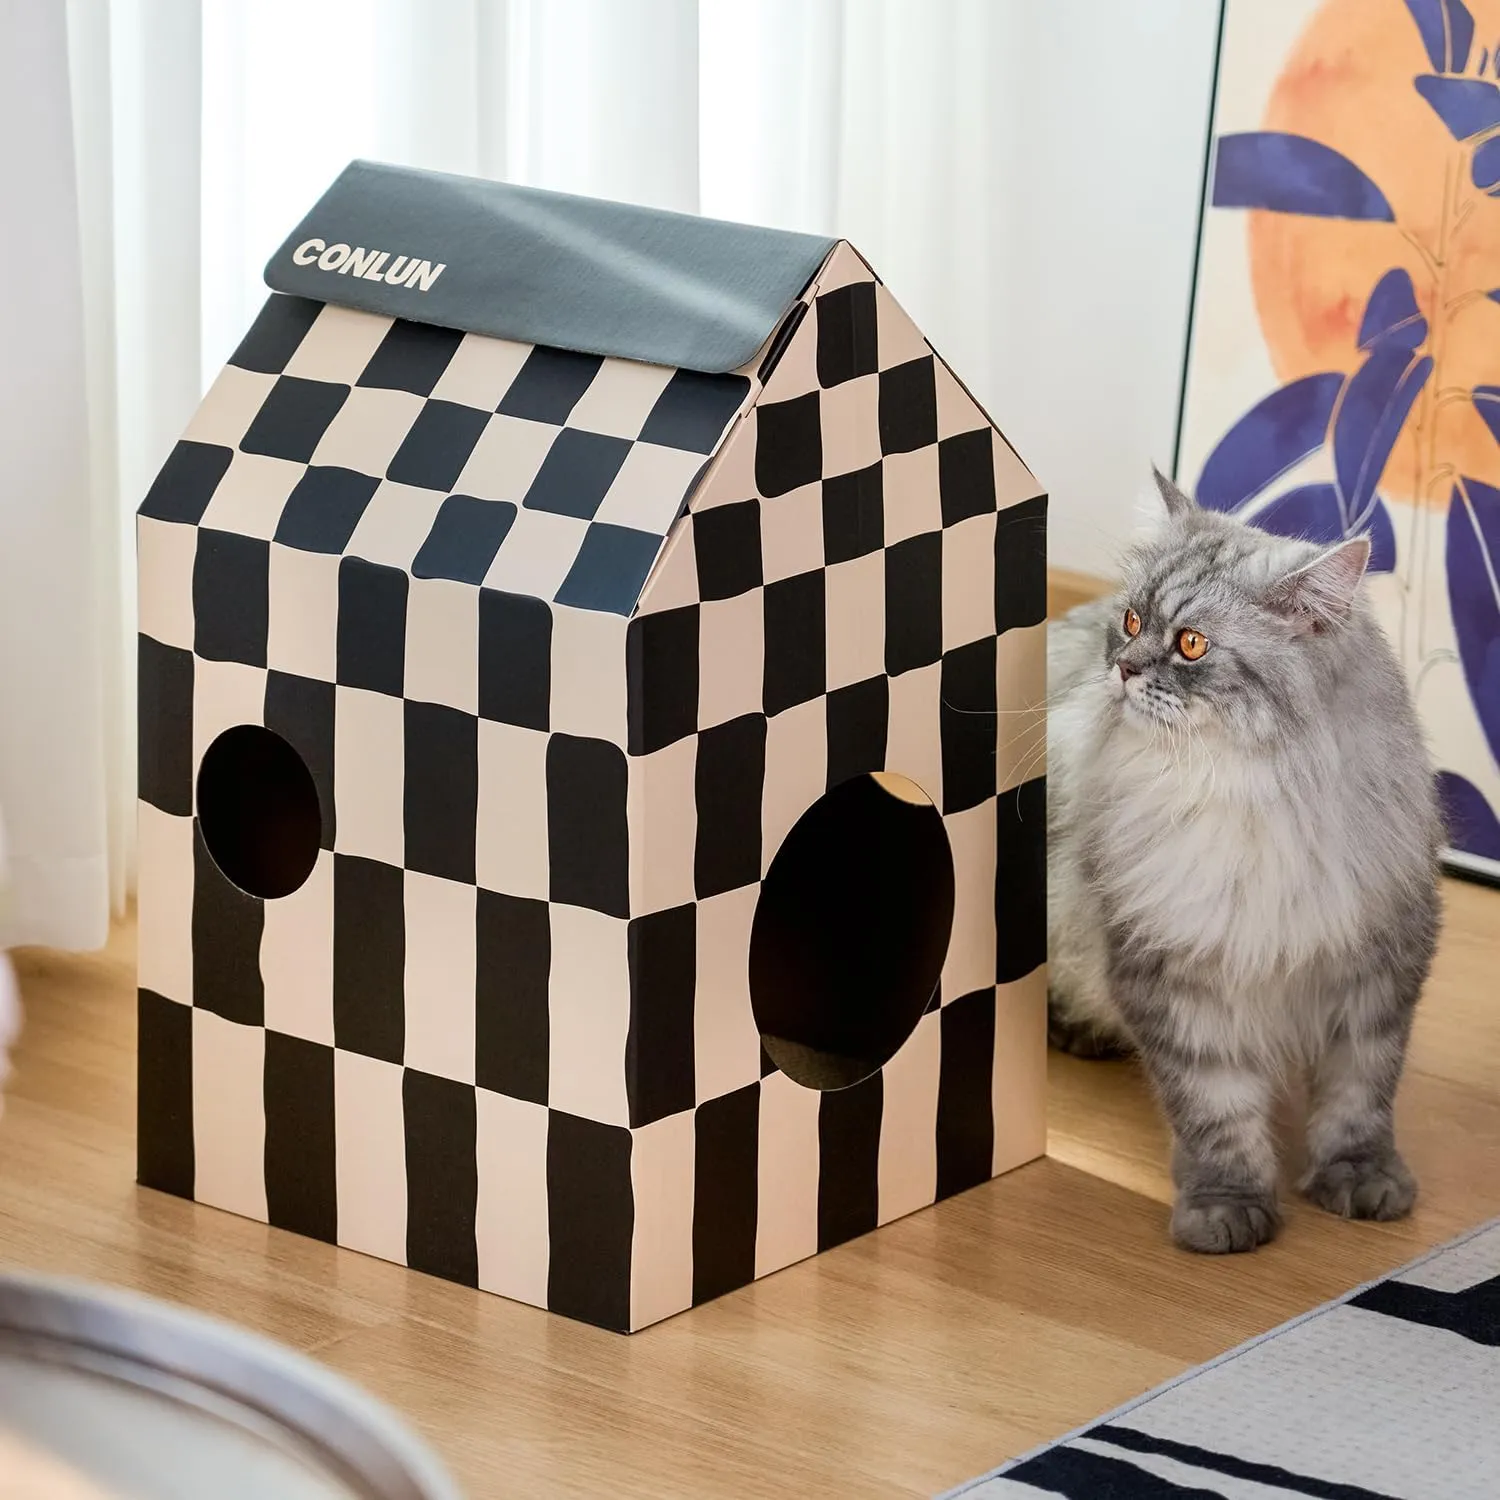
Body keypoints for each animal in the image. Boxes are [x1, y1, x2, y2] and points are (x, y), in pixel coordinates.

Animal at [1044, 468, 1440, 1254]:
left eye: (1191, 644)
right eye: (1131, 622)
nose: (1123, 669)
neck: (1251, 800)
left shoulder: (1380, 972)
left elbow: (1359, 1098)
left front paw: (1362, 1180)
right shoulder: (1174, 977)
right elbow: (1215, 1115)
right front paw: (1228, 1213)